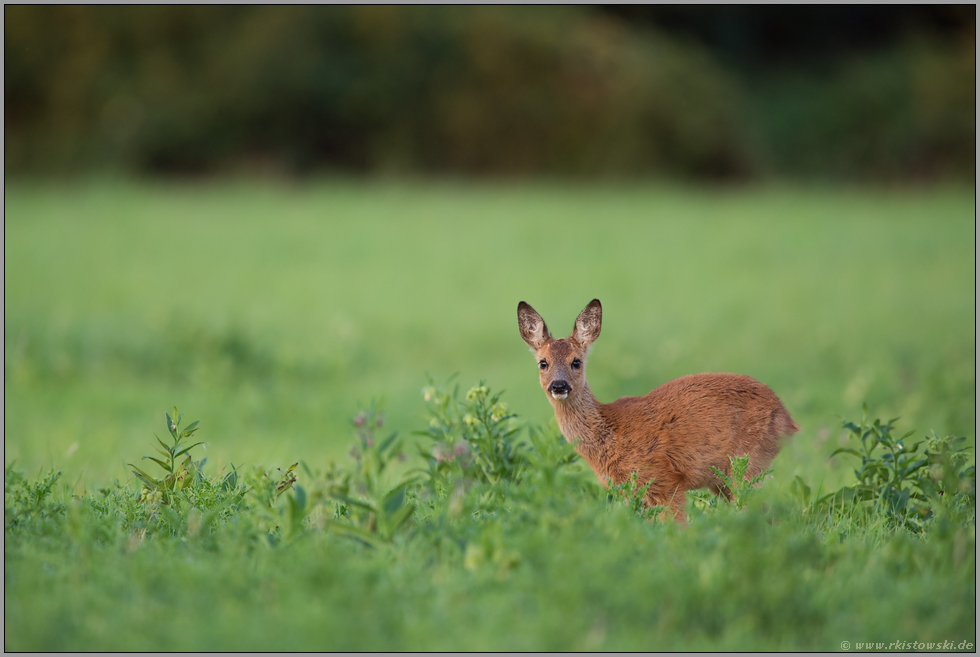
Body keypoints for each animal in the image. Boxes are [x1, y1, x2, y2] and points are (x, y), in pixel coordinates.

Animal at [516, 298, 800, 524]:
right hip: (725, 479)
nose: (559, 385)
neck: (611, 434)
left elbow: (677, 528)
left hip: (748, 462)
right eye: (543, 363)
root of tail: (787, 418)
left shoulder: (665, 479)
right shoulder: (629, 492)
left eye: (576, 361)